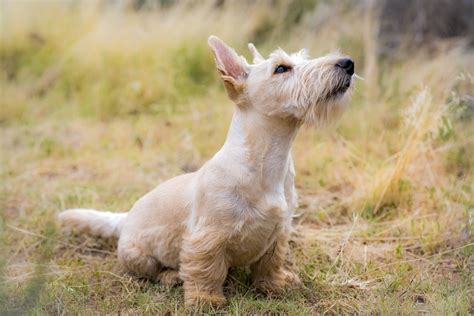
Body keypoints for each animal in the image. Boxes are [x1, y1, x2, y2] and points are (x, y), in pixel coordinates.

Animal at [59, 35, 354, 306]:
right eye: (281, 68)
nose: (348, 63)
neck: (269, 161)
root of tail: (125, 217)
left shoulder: (278, 233)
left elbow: (270, 264)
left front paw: (276, 285)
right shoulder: (207, 238)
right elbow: (206, 270)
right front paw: (206, 300)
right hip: (137, 256)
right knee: (152, 271)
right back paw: (171, 276)